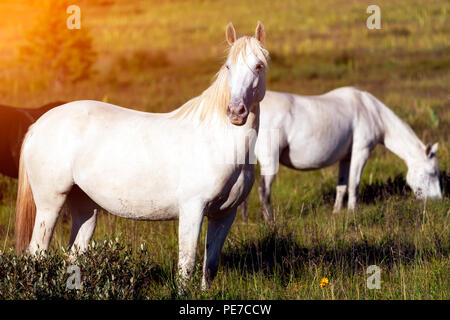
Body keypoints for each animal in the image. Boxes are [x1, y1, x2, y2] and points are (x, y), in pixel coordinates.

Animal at [14, 21, 268, 288]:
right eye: (228, 66)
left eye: (259, 66)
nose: (236, 112)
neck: (218, 142)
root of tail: (37, 125)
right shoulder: (192, 209)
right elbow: (186, 265)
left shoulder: (225, 215)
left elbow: (210, 267)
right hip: (50, 204)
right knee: (37, 252)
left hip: (85, 208)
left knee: (74, 255)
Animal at [243, 87, 440, 222]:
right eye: (432, 174)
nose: (438, 201)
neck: (371, 111)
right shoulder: (361, 152)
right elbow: (354, 183)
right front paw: (352, 212)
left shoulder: (346, 157)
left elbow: (342, 186)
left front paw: (336, 212)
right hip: (270, 161)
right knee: (264, 191)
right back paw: (270, 220)